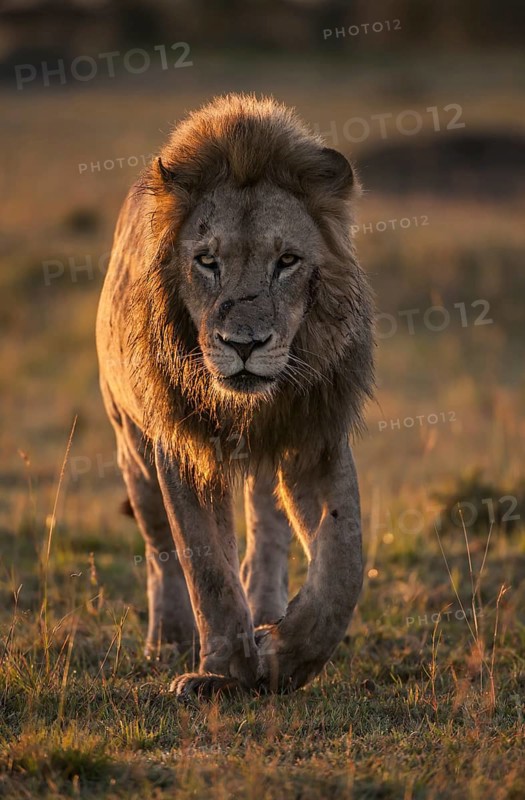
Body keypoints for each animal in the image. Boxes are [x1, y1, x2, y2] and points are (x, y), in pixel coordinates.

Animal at [96, 93, 374, 697]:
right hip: (131, 444)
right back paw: (168, 638)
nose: (244, 344)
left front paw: (285, 653)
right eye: (207, 260)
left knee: (268, 529)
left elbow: (344, 561)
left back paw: (266, 609)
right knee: (159, 546)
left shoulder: (314, 434)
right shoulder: (180, 444)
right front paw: (221, 673)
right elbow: (206, 567)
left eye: (287, 260)